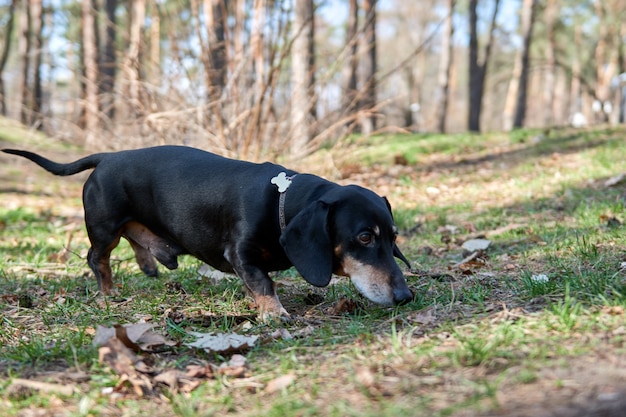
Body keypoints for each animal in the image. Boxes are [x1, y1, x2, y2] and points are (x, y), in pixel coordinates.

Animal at [4, 145, 414, 316]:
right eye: (364, 237)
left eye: (393, 237)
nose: (405, 296)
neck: (281, 201)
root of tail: (105, 157)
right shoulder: (240, 253)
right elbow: (264, 281)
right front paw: (274, 313)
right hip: (104, 227)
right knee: (97, 257)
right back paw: (108, 292)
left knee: (136, 237)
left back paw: (149, 264)